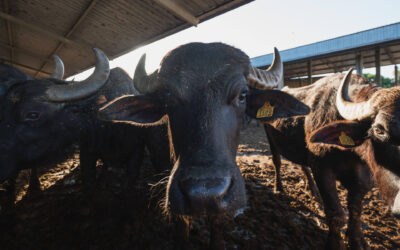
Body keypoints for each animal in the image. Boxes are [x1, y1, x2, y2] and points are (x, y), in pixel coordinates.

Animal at [262, 67, 400, 249]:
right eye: (379, 130)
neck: (350, 153)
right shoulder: (322, 169)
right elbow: (336, 213)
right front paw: (335, 243)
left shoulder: (364, 180)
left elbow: (355, 212)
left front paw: (357, 240)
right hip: (270, 138)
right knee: (277, 161)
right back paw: (278, 188)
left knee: (302, 165)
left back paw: (312, 190)